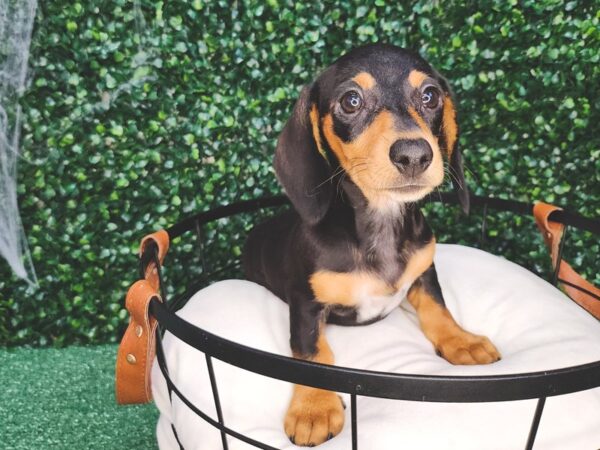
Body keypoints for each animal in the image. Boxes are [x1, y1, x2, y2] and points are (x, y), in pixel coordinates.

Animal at [241, 44, 500, 446]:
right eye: (351, 100)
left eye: (430, 95)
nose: (414, 155)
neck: (381, 224)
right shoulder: (305, 303)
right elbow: (311, 351)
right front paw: (314, 407)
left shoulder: (425, 271)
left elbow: (438, 309)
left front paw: (462, 341)